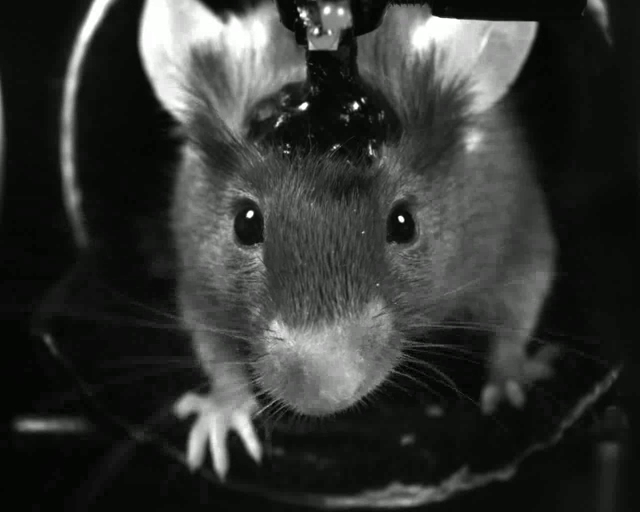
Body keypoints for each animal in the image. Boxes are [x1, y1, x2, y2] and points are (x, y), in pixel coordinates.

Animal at [139, 0, 558, 479]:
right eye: (245, 224)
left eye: (404, 223)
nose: (326, 397)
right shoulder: (199, 287)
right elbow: (214, 350)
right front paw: (221, 416)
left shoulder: (521, 238)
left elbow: (518, 317)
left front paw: (511, 388)